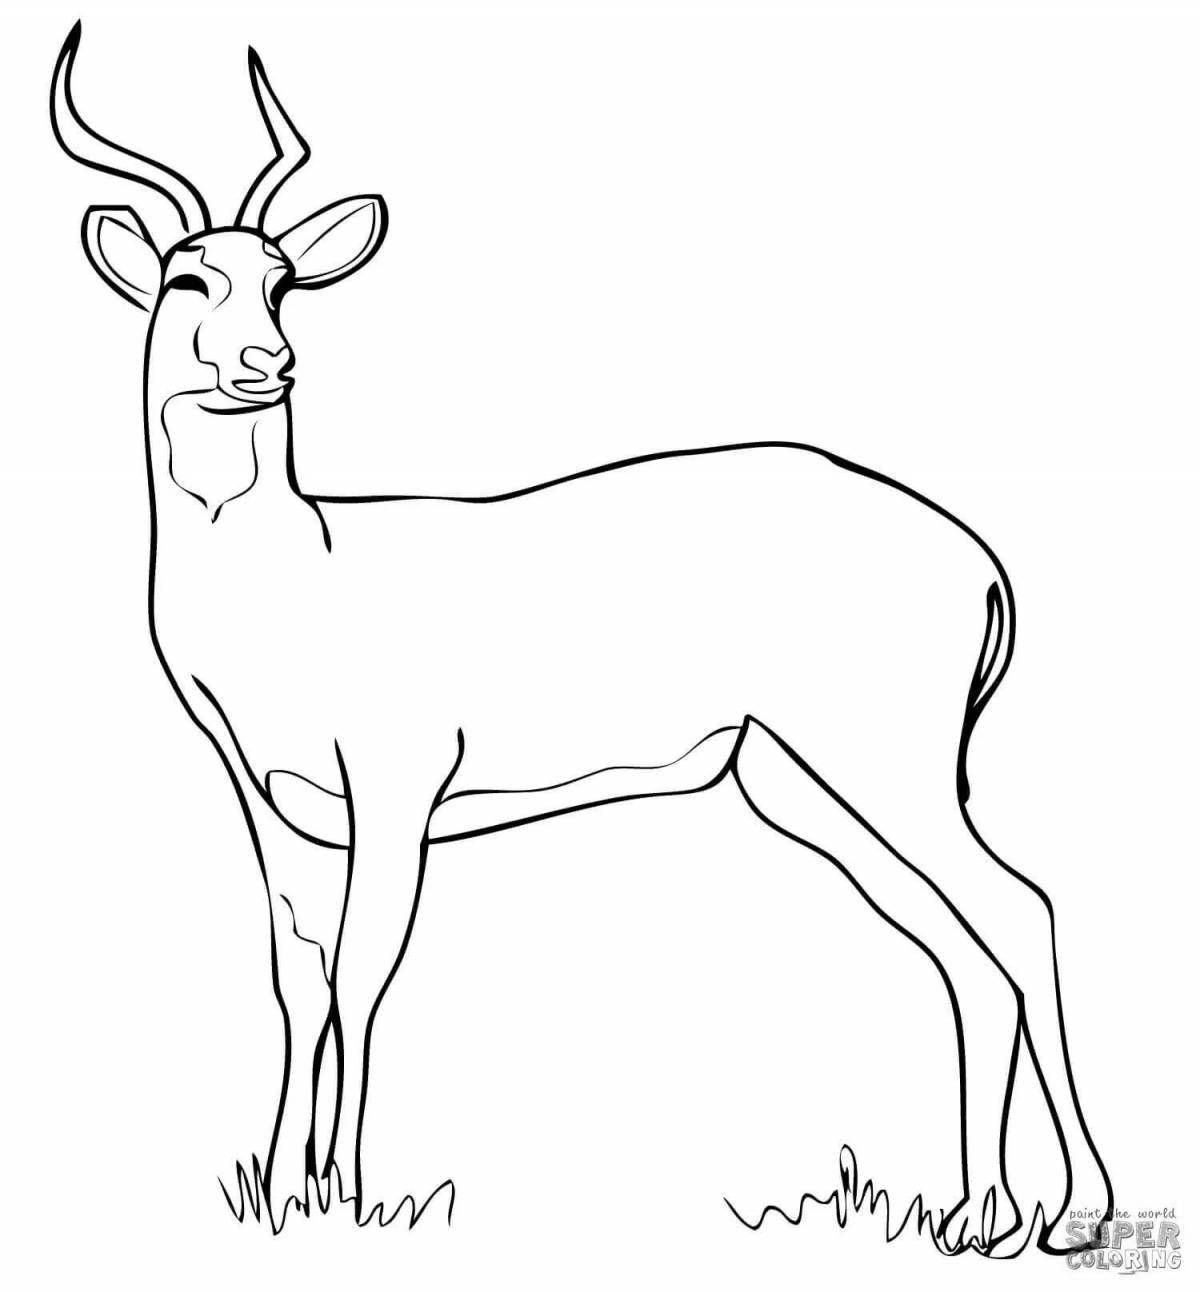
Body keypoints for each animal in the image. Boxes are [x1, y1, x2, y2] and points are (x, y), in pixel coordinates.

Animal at [51, 22, 1112, 1251]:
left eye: (282, 280)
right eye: (189, 278)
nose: (266, 365)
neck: (300, 568)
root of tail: (980, 560)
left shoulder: (397, 787)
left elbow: (365, 973)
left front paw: (351, 1195)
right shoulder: (274, 805)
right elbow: (296, 982)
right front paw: (282, 1189)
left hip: (886, 769)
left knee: (1021, 912)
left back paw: (1077, 1213)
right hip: (804, 787)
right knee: (963, 954)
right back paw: (976, 1215)